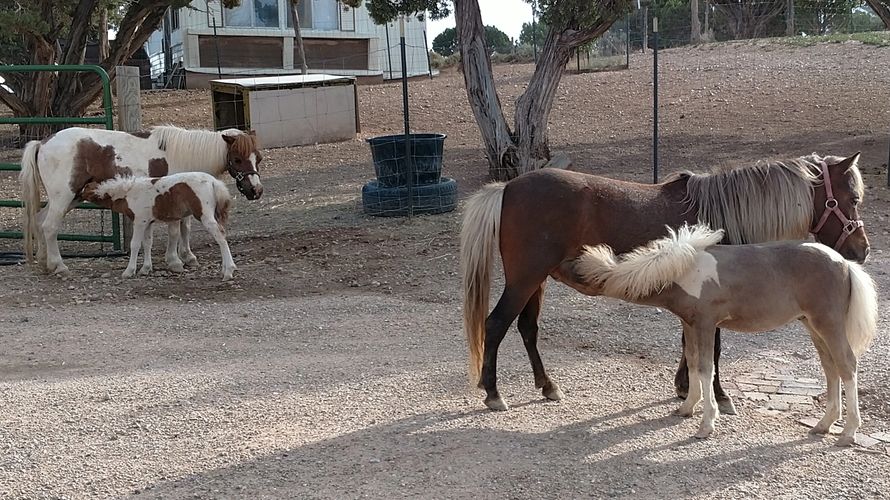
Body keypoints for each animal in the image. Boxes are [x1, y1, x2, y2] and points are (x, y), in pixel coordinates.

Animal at [82, 172, 236, 282]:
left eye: (83, 190)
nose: (77, 199)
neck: (129, 193)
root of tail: (214, 182)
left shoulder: (139, 221)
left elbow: (135, 244)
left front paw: (129, 271)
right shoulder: (148, 222)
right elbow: (147, 243)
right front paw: (145, 269)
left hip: (205, 215)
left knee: (220, 236)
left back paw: (228, 272)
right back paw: (224, 269)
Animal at [462, 152, 864, 414]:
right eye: (853, 198)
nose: (862, 250)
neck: (721, 213)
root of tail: (508, 187)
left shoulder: (699, 301)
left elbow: (692, 346)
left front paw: (685, 387)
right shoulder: (713, 300)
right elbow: (713, 350)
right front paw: (718, 396)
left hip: (537, 281)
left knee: (527, 328)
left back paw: (547, 386)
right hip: (525, 279)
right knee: (496, 324)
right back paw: (494, 393)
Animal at [576, 224, 876, 446]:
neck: (685, 270)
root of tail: (844, 263)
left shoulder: (706, 324)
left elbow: (706, 368)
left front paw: (706, 424)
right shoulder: (689, 324)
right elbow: (692, 362)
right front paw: (686, 408)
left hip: (829, 323)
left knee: (847, 365)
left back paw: (848, 433)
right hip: (812, 325)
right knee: (830, 366)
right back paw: (823, 425)